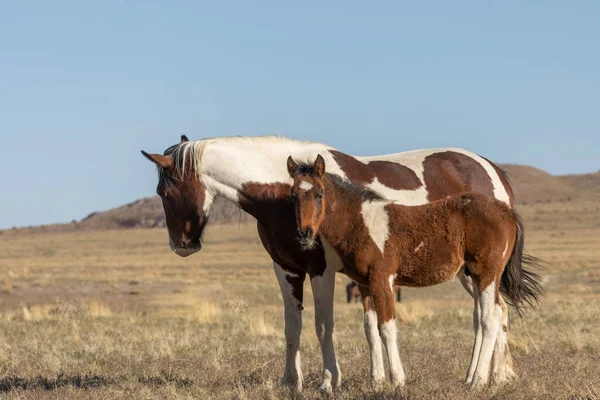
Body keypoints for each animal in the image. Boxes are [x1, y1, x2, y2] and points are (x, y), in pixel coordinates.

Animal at [288, 155, 540, 388]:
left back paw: (478, 380)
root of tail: (507, 212)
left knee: (490, 316)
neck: (362, 223)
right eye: (293, 195)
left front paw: (398, 380)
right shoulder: (365, 284)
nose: (304, 233)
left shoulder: (382, 279)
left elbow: (386, 328)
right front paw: (376, 380)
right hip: (474, 275)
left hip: (486, 272)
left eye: (319, 194)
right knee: (488, 314)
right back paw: (483, 377)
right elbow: (370, 330)